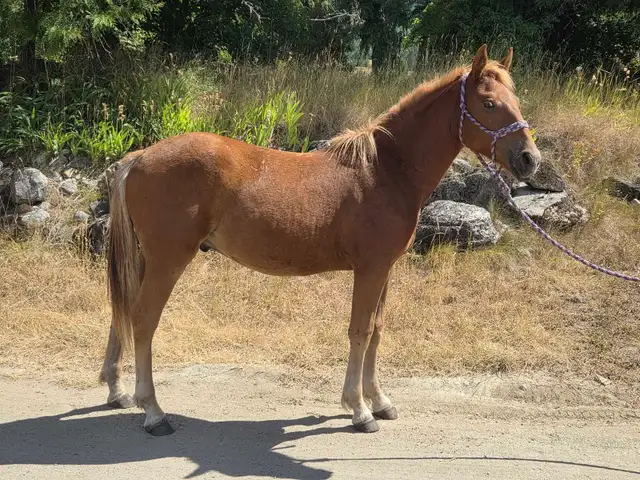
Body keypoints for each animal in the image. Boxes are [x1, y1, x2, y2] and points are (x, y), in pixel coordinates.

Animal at [100, 45, 541, 435]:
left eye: (515, 99)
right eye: (488, 103)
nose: (530, 159)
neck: (385, 170)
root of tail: (138, 158)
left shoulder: (385, 270)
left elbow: (377, 329)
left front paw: (380, 401)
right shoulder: (370, 269)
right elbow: (360, 331)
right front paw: (359, 409)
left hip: (145, 258)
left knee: (123, 309)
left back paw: (118, 392)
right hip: (169, 259)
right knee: (143, 318)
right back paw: (153, 412)